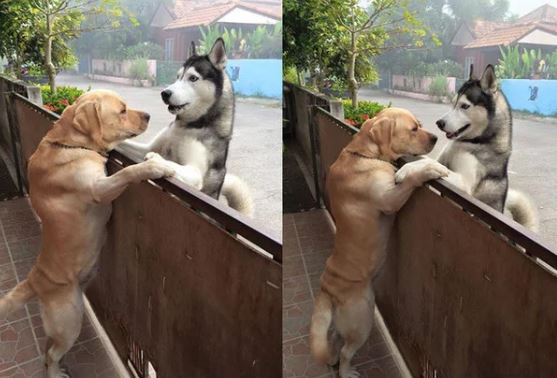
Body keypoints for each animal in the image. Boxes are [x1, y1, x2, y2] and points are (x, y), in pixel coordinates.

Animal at [0, 90, 174, 376]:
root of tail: (35, 280)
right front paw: (155, 168)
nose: (149, 115)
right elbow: (129, 171)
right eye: (122, 110)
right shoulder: (98, 189)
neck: (69, 144)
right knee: (51, 354)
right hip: (70, 321)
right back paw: (56, 372)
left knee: (47, 350)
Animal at [121, 38, 254, 217]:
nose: (164, 93)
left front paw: (157, 161)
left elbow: (171, 164)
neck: (189, 126)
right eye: (178, 77)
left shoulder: (195, 173)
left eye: (193, 78)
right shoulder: (148, 147)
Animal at [308, 107, 448, 378]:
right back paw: (346, 371)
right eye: (413, 129)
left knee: (335, 340)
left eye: (420, 124)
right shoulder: (389, 199)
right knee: (346, 351)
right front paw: (429, 170)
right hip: (363, 318)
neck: (365, 154)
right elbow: (411, 175)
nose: (436, 138)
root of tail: (327, 289)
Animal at [402, 65, 536, 230]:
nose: (439, 123)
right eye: (453, 103)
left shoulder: (464, 184)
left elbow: (431, 164)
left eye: (464, 106)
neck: (474, 142)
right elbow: (427, 159)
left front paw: (405, 170)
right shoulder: (442, 159)